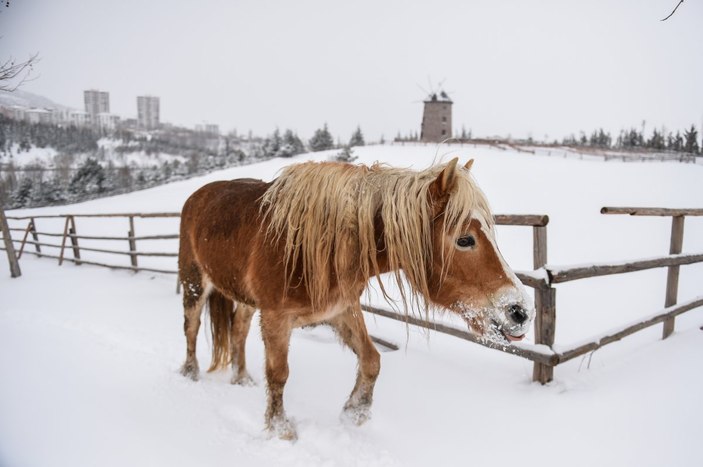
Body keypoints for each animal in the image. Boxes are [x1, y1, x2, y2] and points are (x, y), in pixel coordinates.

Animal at [177, 159, 532, 440]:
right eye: (465, 239)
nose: (520, 312)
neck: (313, 247)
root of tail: (198, 195)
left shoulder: (342, 310)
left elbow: (372, 359)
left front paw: (355, 412)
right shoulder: (277, 318)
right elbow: (279, 374)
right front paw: (280, 429)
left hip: (246, 300)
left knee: (237, 331)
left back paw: (241, 379)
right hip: (194, 282)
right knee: (191, 328)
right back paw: (190, 373)